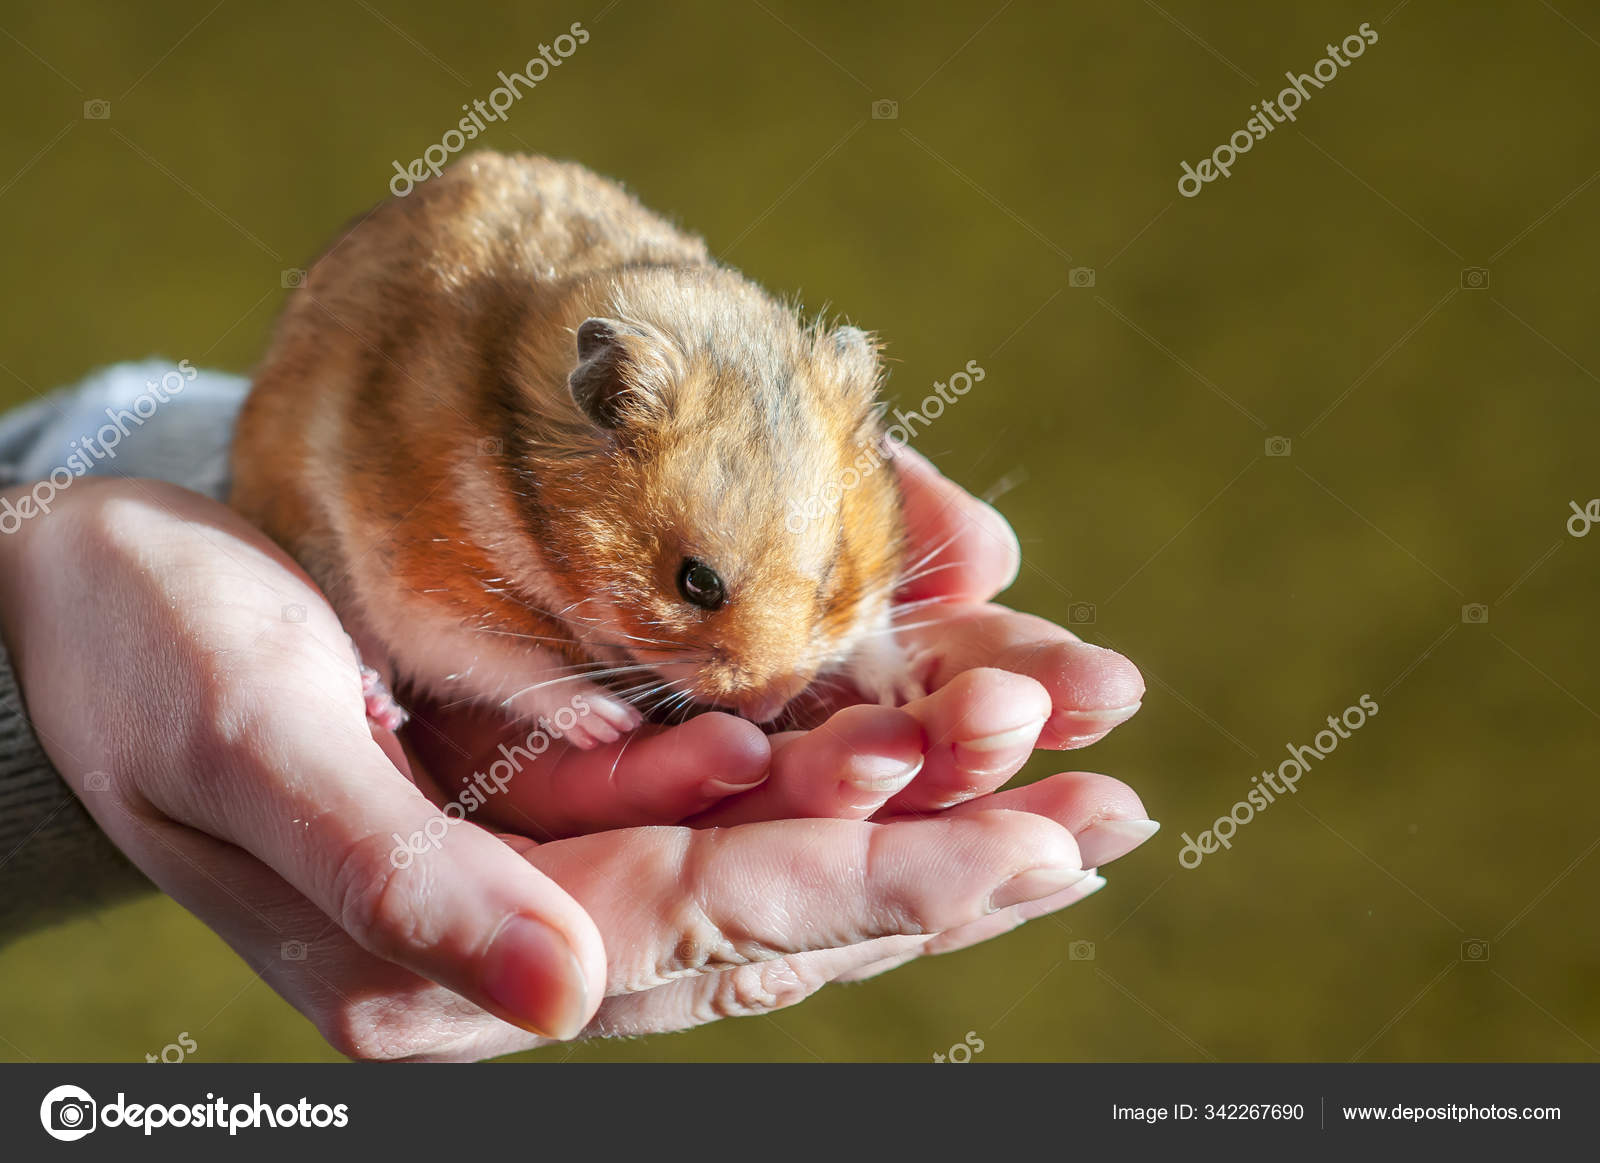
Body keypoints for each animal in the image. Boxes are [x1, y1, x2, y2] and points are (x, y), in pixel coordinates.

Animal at [232, 150, 921, 751]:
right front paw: (608, 723)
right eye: (696, 583)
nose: (769, 704)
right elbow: (501, 661)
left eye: (830, 576)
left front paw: (903, 687)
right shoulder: (418, 588)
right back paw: (378, 699)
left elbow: (876, 623)